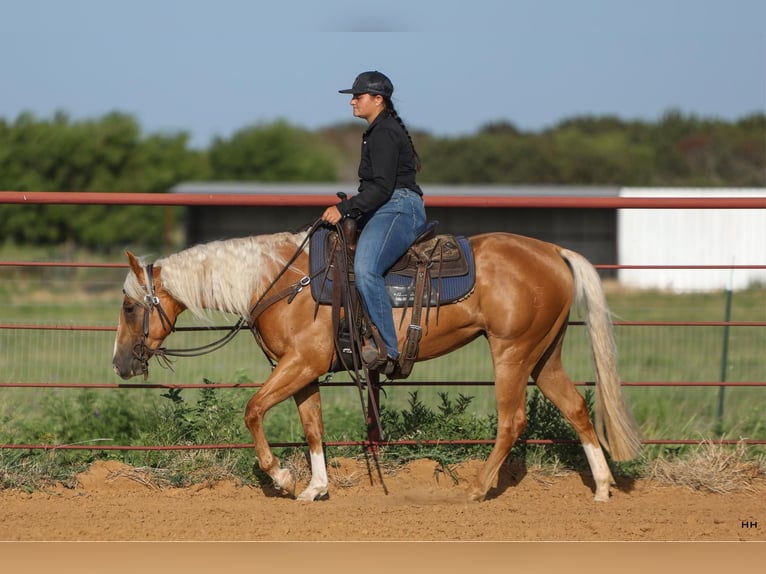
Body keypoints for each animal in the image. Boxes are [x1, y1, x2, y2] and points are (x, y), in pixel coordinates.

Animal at [112, 228, 642, 502]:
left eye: (130, 307)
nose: (119, 363)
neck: (281, 282)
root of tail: (552, 251)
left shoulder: (299, 364)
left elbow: (253, 409)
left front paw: (281, 478)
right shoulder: (303, 370)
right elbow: (312, 427)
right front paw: (315, 487)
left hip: (510, 352)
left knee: (512, 420)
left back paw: (477, 487)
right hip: (543, 355)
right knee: (575, 407)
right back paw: (601, 487)